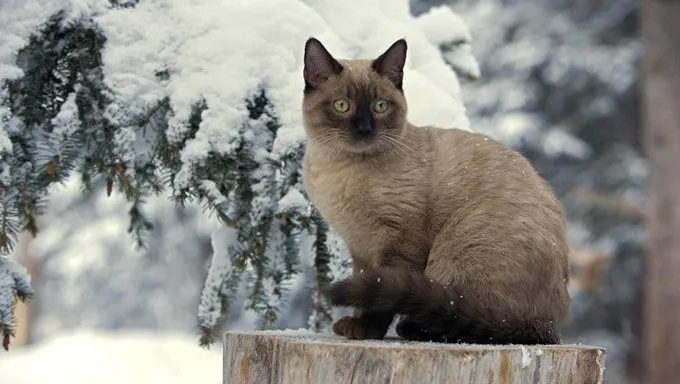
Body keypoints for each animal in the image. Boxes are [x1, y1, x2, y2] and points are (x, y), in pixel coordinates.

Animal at [300, 37, 572, 344]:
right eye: (341, 105)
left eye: (380, 106)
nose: (364, 129)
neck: (339, 171)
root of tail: (550, 327)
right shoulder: (360, 249)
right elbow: (365, 288)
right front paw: (357, 326)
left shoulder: (399, 242)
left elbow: (378, 292)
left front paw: (364, 329)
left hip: (456, 257)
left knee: (472, 320)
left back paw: (413, 328)